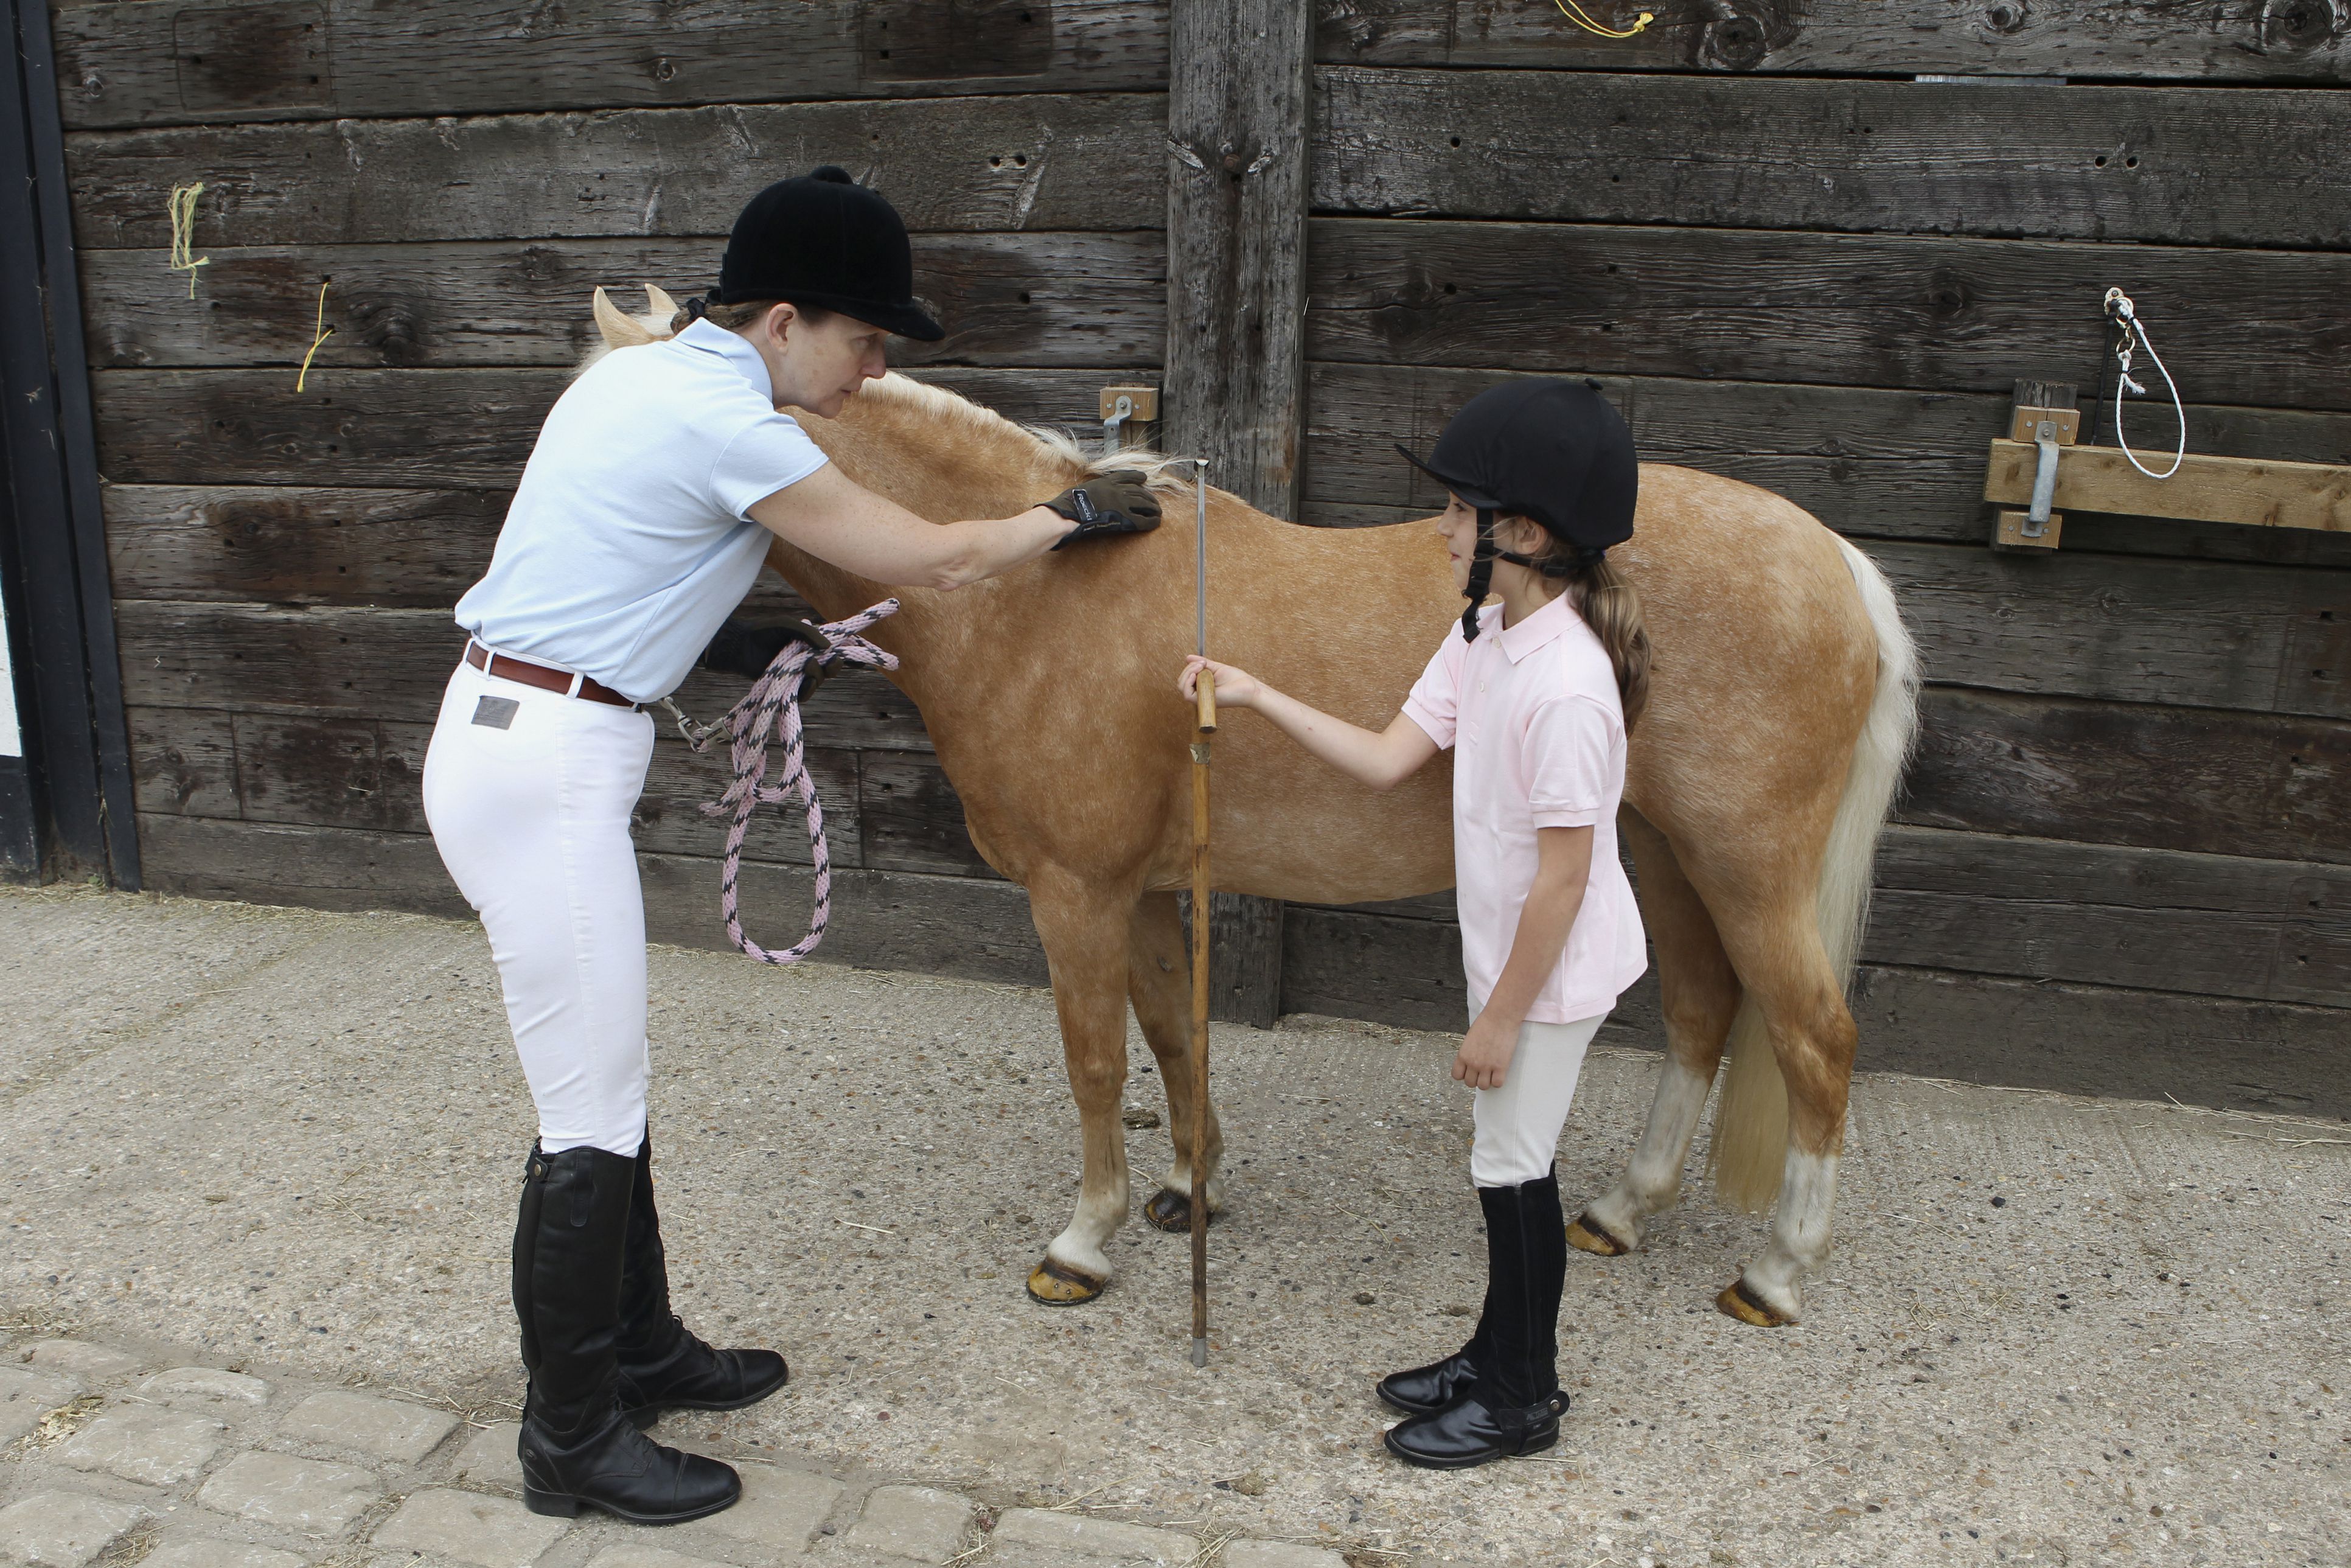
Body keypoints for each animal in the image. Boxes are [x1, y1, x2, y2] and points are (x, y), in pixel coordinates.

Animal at [588, 291, 1909, 1326]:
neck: (1034, 596)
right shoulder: (1143, 889)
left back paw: (1776, 1272)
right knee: (1699, 1011)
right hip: (1662, 848)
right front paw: (1192, 1187)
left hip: (1746, 863)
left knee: (1815, 1038)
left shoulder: (1076, 894)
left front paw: (1083, 1240)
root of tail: (1839, 565)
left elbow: (1092, 1058)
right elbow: (1172, 1037)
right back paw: (1624, 1209)